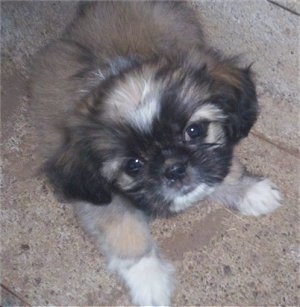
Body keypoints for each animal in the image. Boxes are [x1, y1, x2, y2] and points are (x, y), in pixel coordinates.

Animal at [31, 1, 282, 306]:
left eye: (194, 131)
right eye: (134, 165)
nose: (174, 168)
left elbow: (223, 170)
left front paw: (249, 191)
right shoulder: (102, 200)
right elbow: (127, 233)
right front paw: (150, 281)